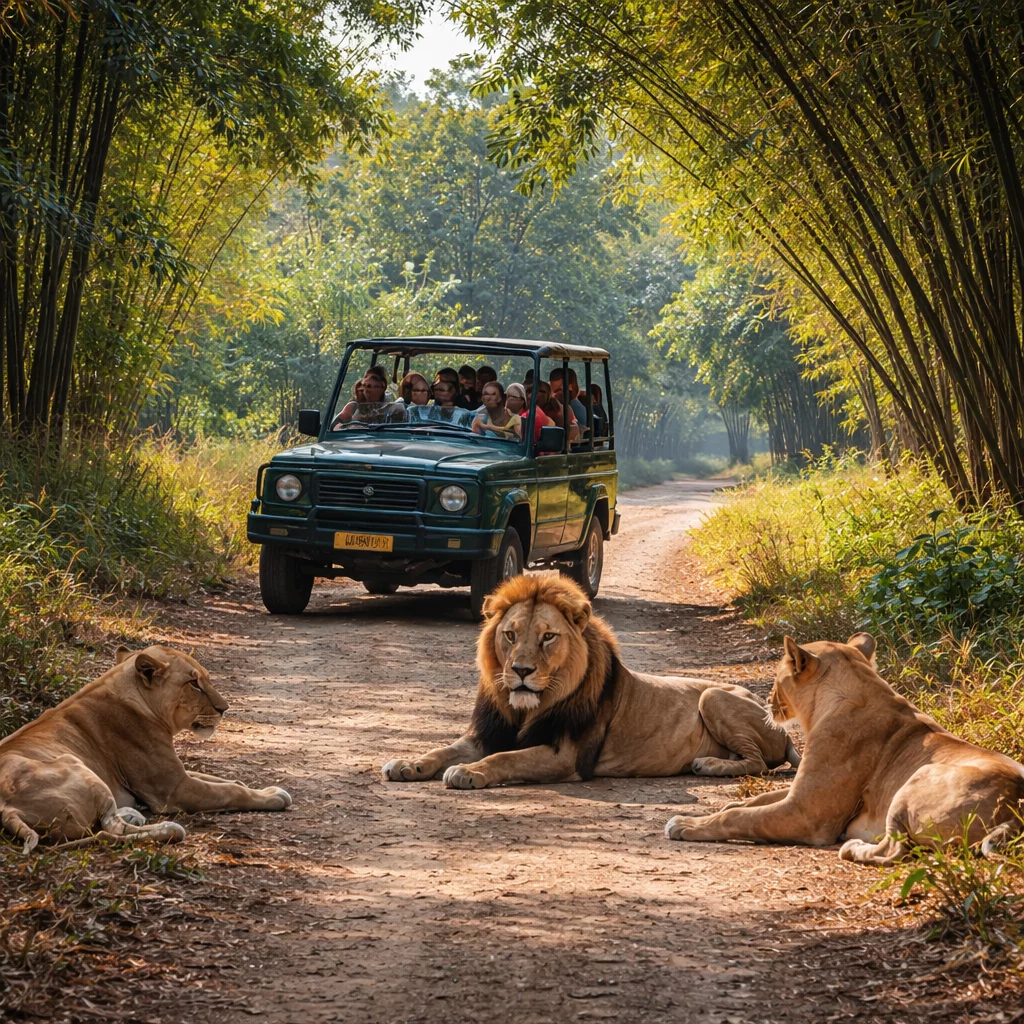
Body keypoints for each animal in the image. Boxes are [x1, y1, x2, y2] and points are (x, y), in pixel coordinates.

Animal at [0, 645, 292, 853]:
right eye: (194, 684)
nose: (224, 709)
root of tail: (7, 808)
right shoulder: (173, 790)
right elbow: (229, 791)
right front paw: (273, 795)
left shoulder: (178, 773)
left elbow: (220, 779)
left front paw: (253, 785)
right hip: (72, 762)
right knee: (110, 830)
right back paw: (168, 828)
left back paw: (133, 813)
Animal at [382, 574, 799, 789]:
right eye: (510, 635)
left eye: (548, 637)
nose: (521, 671)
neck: (525, 710)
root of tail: (784, 732)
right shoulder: (486, 733)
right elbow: (442, 750)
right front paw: (408, 763)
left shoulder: (566, 756)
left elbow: (506, 758)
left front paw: (470, 772)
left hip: (712, 694)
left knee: (757, 763)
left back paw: (707, 765)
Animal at [665, 633, 1024, 864]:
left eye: (778, 678)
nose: (767, 700)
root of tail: (1015, 810)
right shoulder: (799, 794)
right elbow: (752, 802)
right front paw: (723, 806)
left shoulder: (806, 815)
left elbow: (739, 816)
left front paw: (686, 824)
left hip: (919, 776)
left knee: (894, 851)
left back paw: (853, 847)